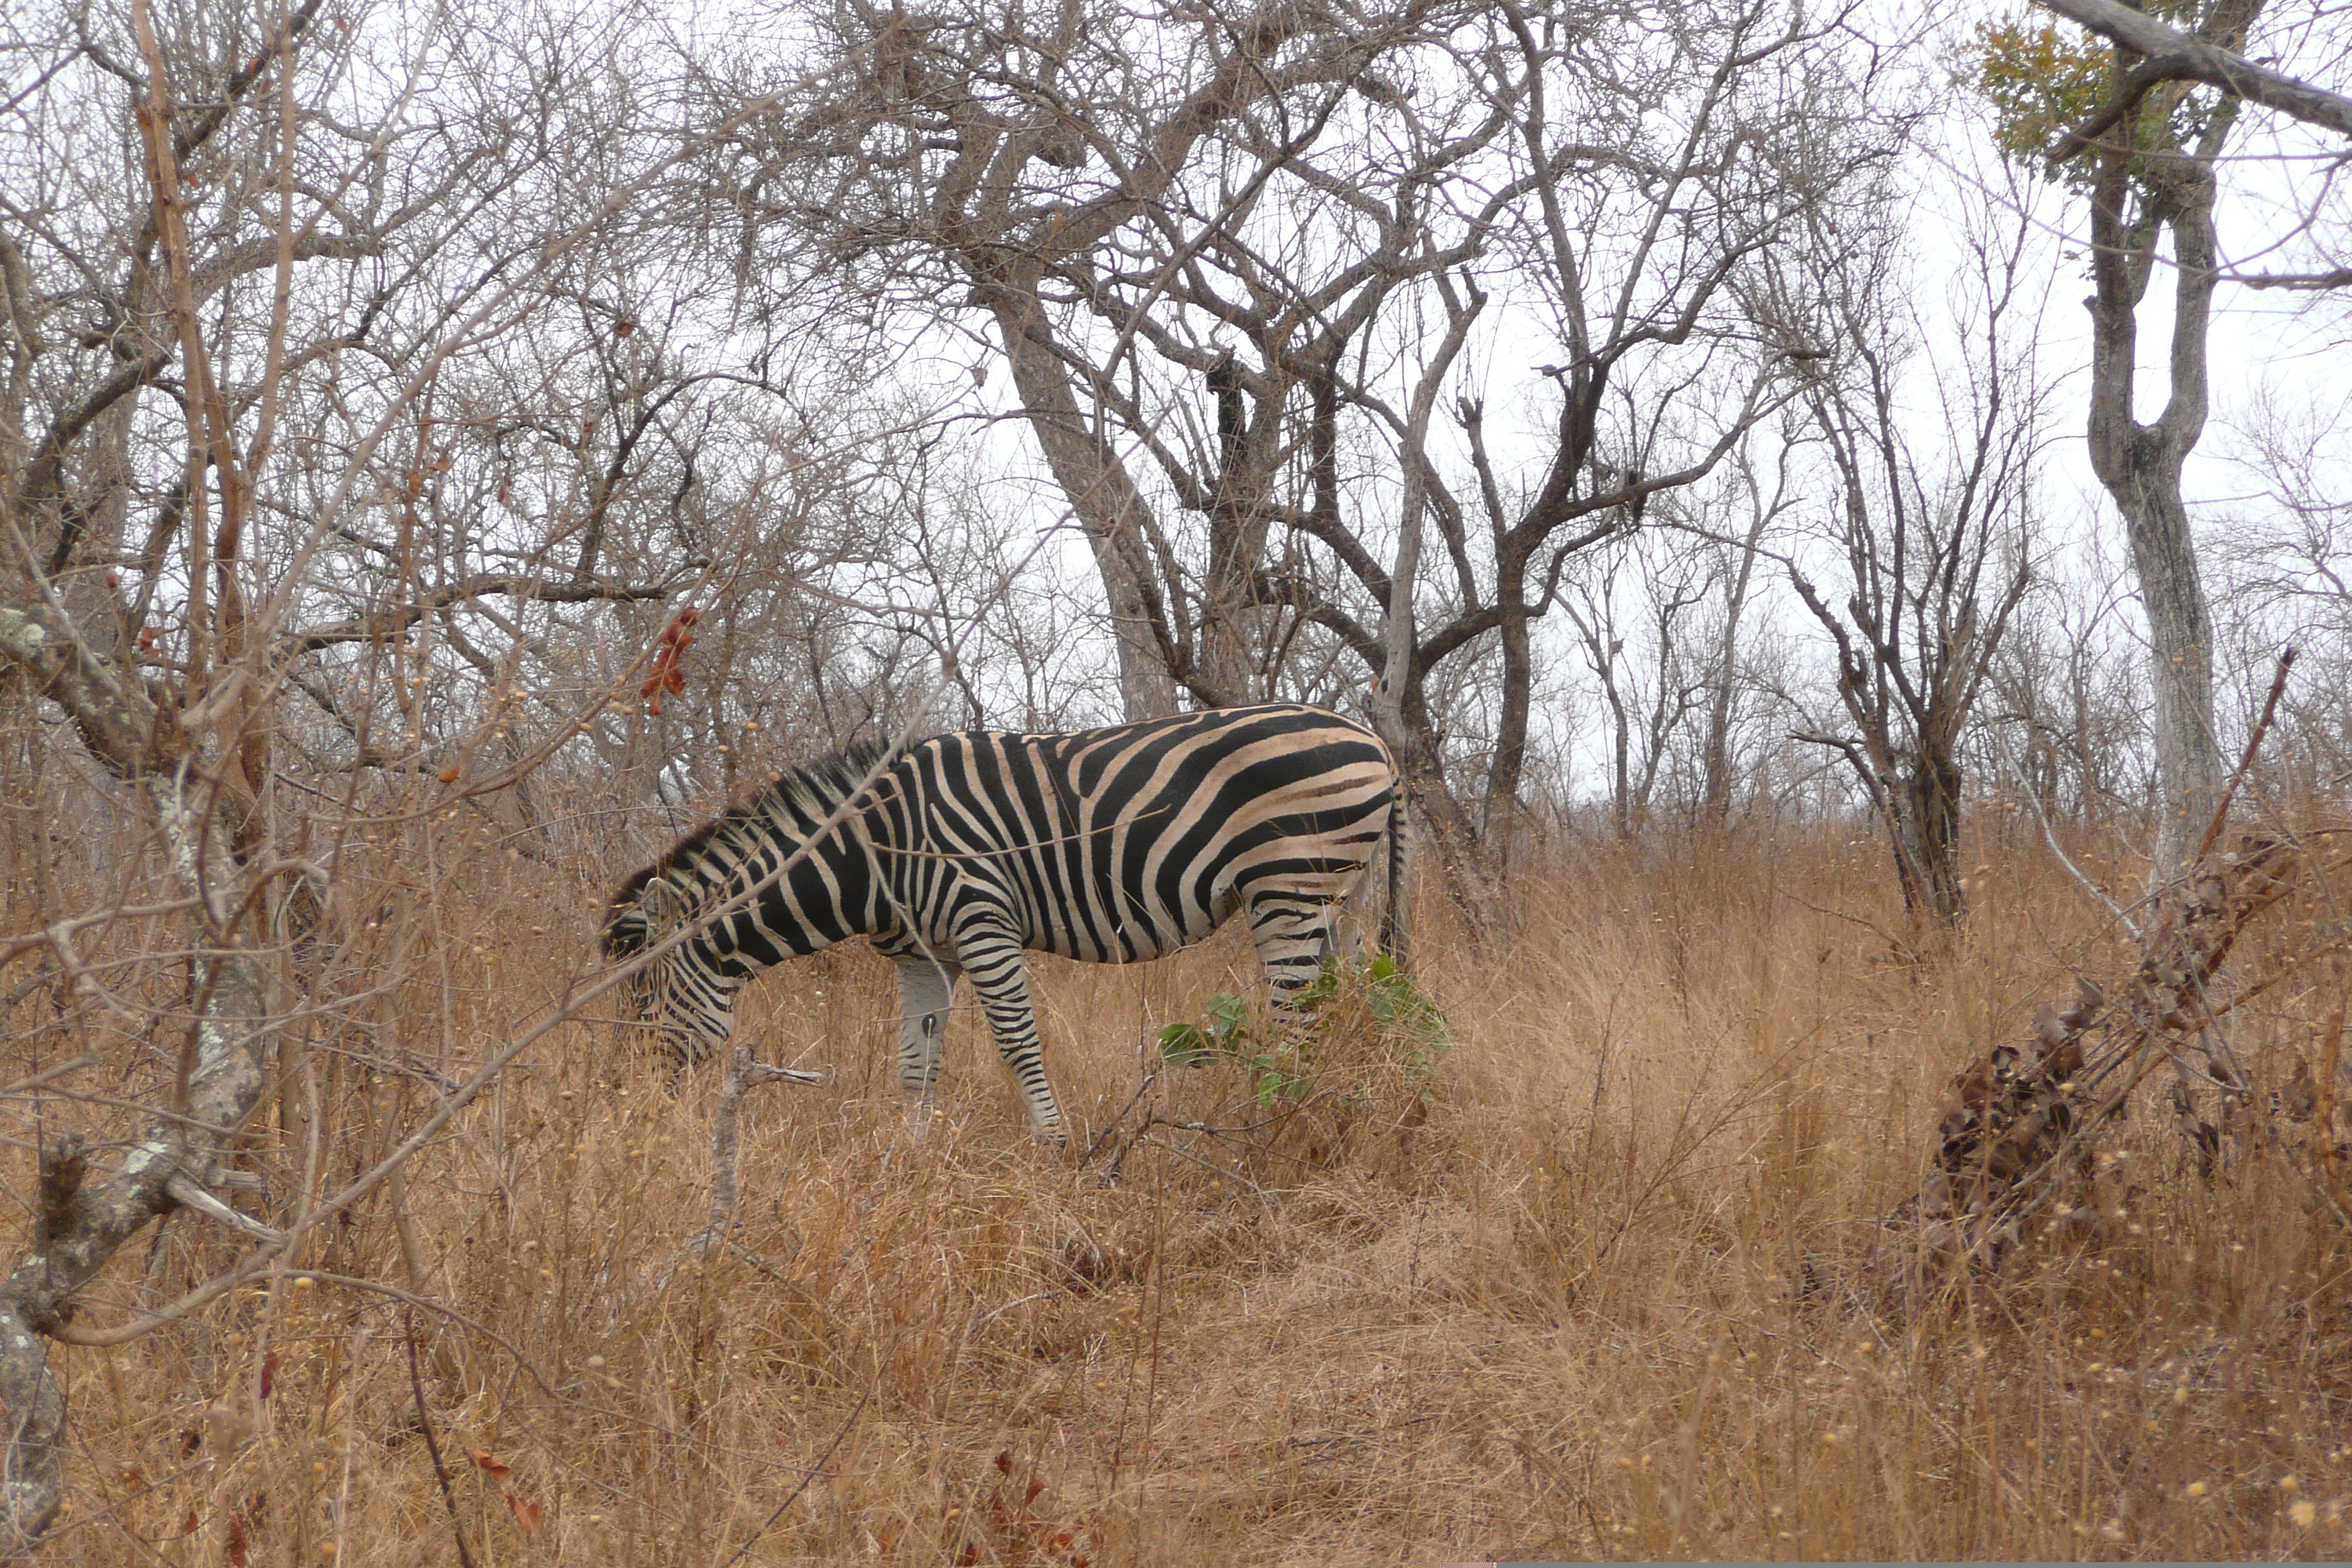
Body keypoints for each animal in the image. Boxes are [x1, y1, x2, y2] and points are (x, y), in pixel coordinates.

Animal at [606, 705, 1401, 1147]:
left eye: (641, 998)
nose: (628, 1105)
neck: (875, 854)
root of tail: (1374, 738)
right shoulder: (924, 954)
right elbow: (914, 1066)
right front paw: (909, 1161)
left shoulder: (981, 917)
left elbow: (1018, 1044)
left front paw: (1054, 1148)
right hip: (1338, 897)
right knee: (1341, 1008)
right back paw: (1330, 1114)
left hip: (1290, 885)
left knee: (1298, 1025)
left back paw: (1275, 1132)